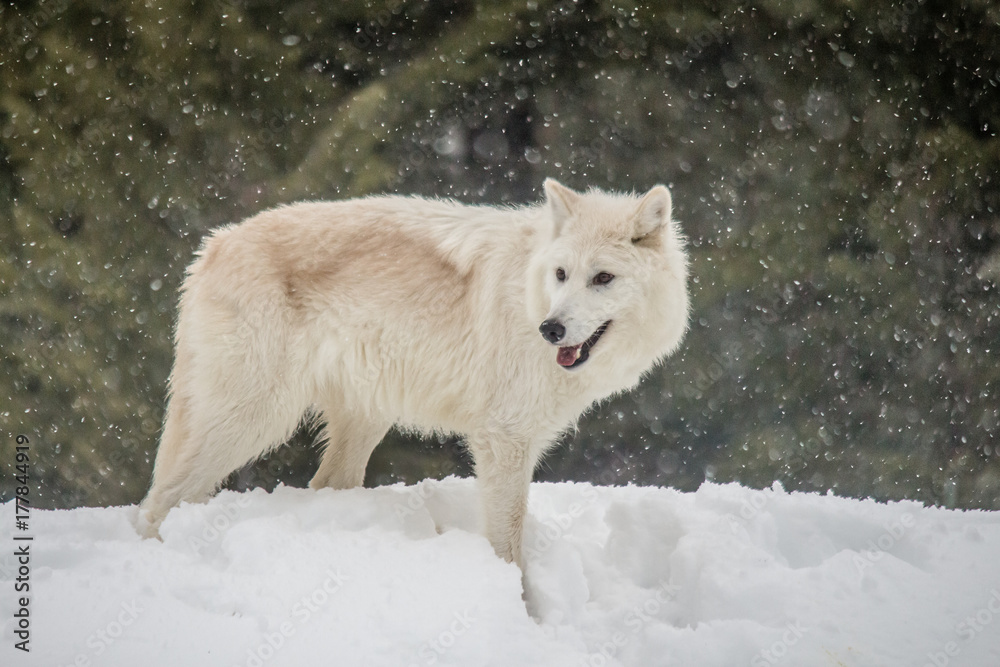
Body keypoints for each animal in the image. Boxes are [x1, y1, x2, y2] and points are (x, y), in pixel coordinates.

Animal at [137, 179, 689, 567]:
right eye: (562, 275)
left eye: (603, 278)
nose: (550, 328)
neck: (528, 292)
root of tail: (214, 245)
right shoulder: (503, 441)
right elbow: (509, 547)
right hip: (253, 420)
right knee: (160, 499)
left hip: (362, 419)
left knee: (323, 484)